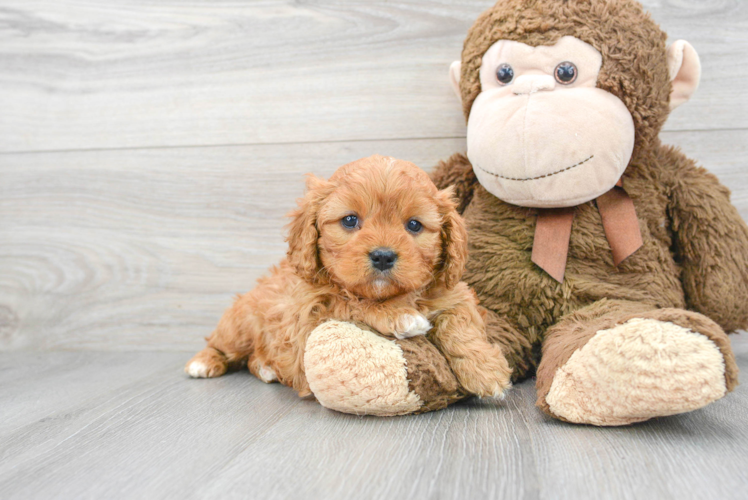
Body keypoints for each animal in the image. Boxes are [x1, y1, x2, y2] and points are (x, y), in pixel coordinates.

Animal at [187, 155, 516, 398]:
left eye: (414, 225)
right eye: (349, 220)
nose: (383, 255)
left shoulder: (453, 293)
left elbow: (460, 322)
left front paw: (485, 369)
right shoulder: (309, 320)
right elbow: (349, 301)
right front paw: (398, 315)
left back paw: (267, 369)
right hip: (240, 324)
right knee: (221, 343)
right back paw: (203, 363)